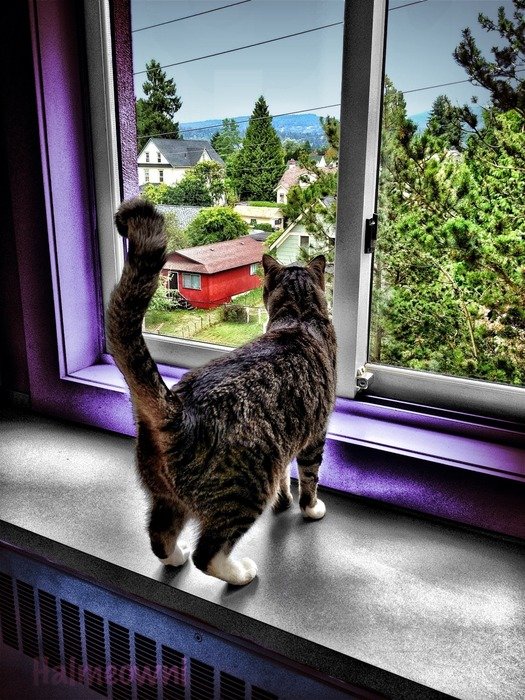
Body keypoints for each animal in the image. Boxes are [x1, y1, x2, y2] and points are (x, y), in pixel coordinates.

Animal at [107, 201, 336, 584]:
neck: (299, 316)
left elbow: (285, 478)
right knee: (208, 554)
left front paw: (284, 501)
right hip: (244, 491)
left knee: (159, 536)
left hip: (166, 496)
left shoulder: (288, 438)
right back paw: (240, 573)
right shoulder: (314, 433)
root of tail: (178, 412)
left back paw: (176, 556)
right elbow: (309, 477)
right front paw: (310, 507)